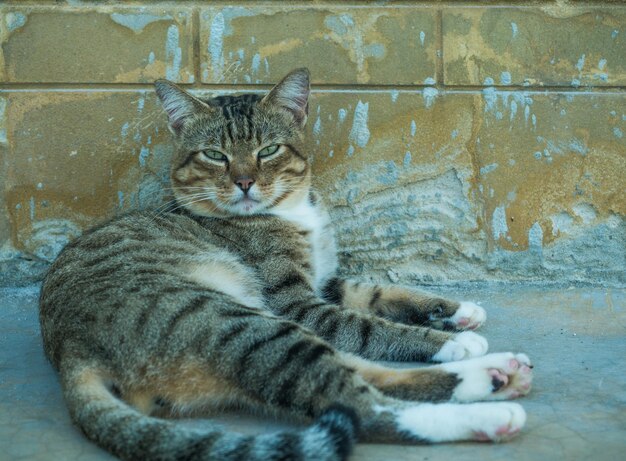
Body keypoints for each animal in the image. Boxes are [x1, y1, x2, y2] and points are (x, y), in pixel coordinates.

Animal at [37, 68, 532, 460]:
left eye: (268, 150)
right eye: (214, 155)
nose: (244, 181)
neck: (293, 211)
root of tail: (72, 352)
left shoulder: (324, 281)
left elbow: (378, 292)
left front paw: (458, 311)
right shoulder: (296, 303)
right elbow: (370, 327)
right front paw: (451, 339)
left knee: (358, 374)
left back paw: (497, 374)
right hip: (239, 322)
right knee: (358, 405)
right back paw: (492, 406)